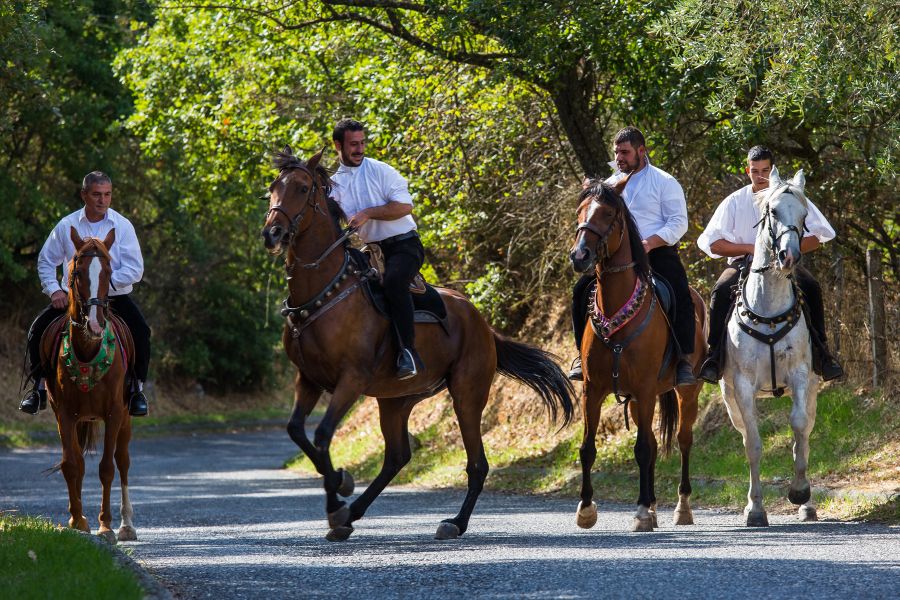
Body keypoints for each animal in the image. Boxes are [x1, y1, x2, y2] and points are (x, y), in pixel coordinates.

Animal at [40, 226, 136, 544]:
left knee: (123, 461)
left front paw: (105, 526)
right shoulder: (64, 414)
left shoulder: (115, 413)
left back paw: (126, 524)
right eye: (77, 271)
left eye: (109, 270)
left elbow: (107, 467)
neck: (87, 350)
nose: (95, 324)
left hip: (127, 417)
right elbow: (72, 465)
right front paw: (77, 521)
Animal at [256, 148, 572, 540]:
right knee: (396, 457)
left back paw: (454, 523)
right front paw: (342, 488)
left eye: (302, 187)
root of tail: (484, 325)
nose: (272, 233)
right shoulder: (308, 380)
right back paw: (353, 513)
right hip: (395, 400)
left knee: (476, 464)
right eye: (273, 187)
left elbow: (323, 433)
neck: (326, 290)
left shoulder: (351, 380)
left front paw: (337, 497)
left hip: (466, 395)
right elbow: (297, 431)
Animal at [568, 180, 712, 532]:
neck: (615, 309)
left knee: (683, 440)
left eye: (608, 214)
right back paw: (655, 506)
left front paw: (642, 512)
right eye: (580, 211)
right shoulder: (593, 390)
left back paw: (681, 508)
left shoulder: (646, 390)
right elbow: (588, 448)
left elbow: (643, 449)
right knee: (657, 442)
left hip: (687, 391)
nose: (580, 255)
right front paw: (586, 509)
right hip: (634, 400)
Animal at [720, 168, 820, 524]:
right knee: (743, 434)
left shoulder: (802, 376)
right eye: (773, 212)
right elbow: (753, 443)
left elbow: (800, 429)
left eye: (804, 215)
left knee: (806, 433)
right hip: (729, 398)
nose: (789, 256)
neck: (769, 311)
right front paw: (755, 508)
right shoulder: (743, 386)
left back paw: (807, 506)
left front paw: (800, 492)